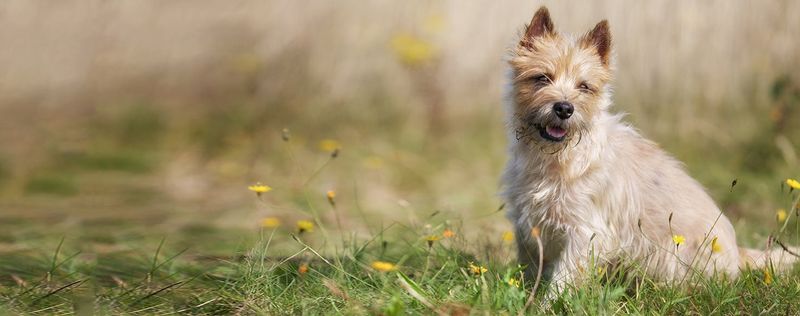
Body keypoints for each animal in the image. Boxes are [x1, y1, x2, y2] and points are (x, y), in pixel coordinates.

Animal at [500, 6, 792, 292]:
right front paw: (522, 292)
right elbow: (530, 267)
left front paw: (548, 302)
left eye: (584, 86)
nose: (564, 108)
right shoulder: (528, 224)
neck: (556, 157)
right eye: (541, 78)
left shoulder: (587, 232)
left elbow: (564, 279)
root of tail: (736, 254)